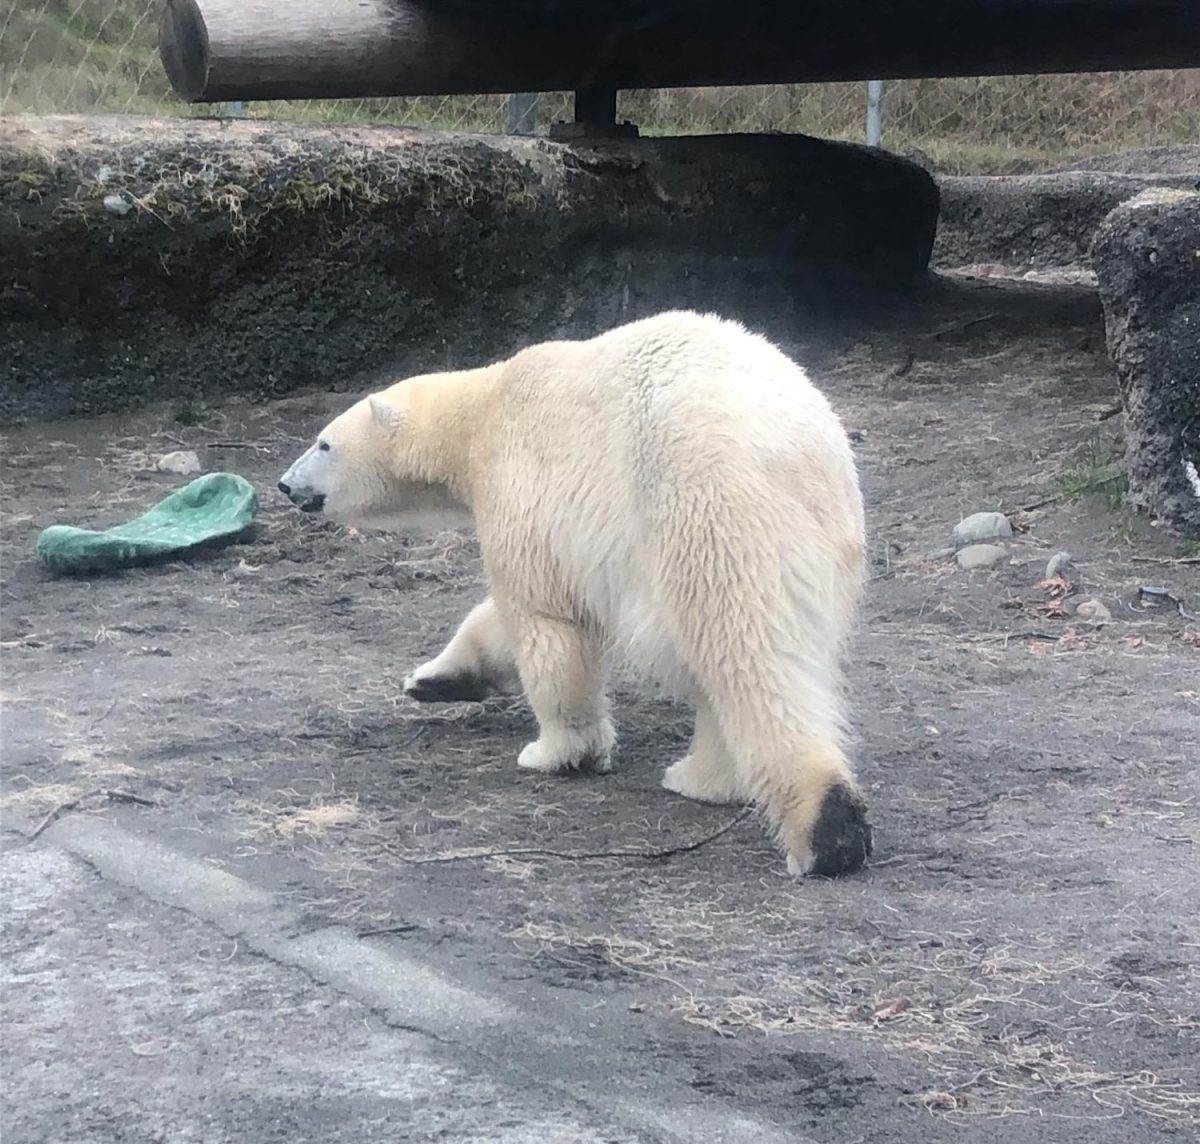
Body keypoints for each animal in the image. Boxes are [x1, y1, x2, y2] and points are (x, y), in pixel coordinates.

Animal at [274, 309, 868, 873]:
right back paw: (701, 778)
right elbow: (500, 619)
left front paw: (558, 753)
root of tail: (805, 454)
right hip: (824, 547)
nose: (284, 484)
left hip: (701, 505)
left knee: (743, 657)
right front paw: (435, 680)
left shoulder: (523, 486)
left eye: (323, 443)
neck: (483, 411)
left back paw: (825, 830)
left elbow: (543, 620)